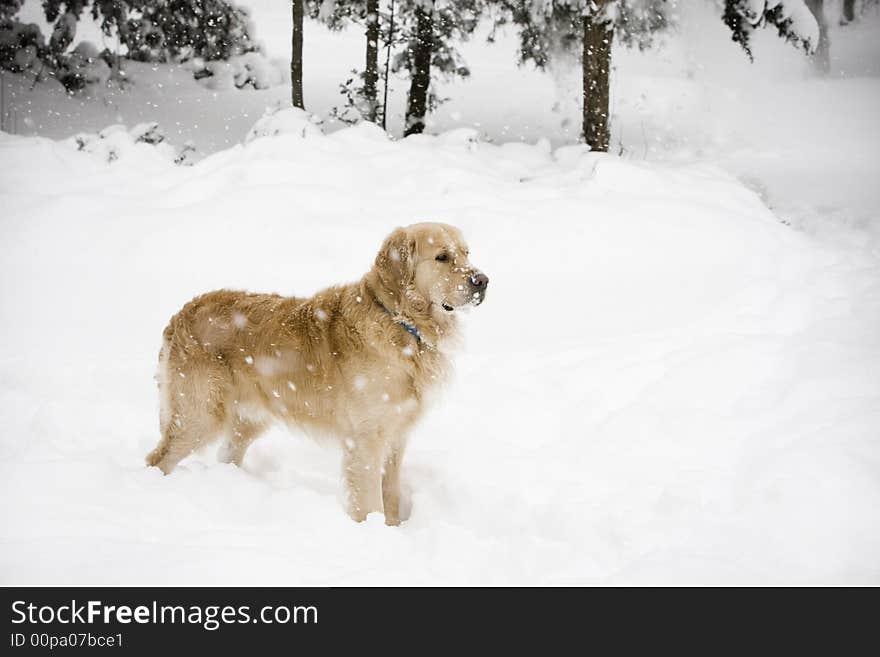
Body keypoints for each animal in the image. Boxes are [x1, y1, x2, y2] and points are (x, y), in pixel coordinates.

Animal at [145, 223, 488, 524]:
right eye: (442, 257)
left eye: (466, 253)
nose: (483, 281)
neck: (398, 320)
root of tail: (182, 313)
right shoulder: (366, 440)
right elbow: (369, 501)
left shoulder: (396, 437)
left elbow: (390, 495)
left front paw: (393, 529)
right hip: (200, 415)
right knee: (158, 458)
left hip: (248, 419)